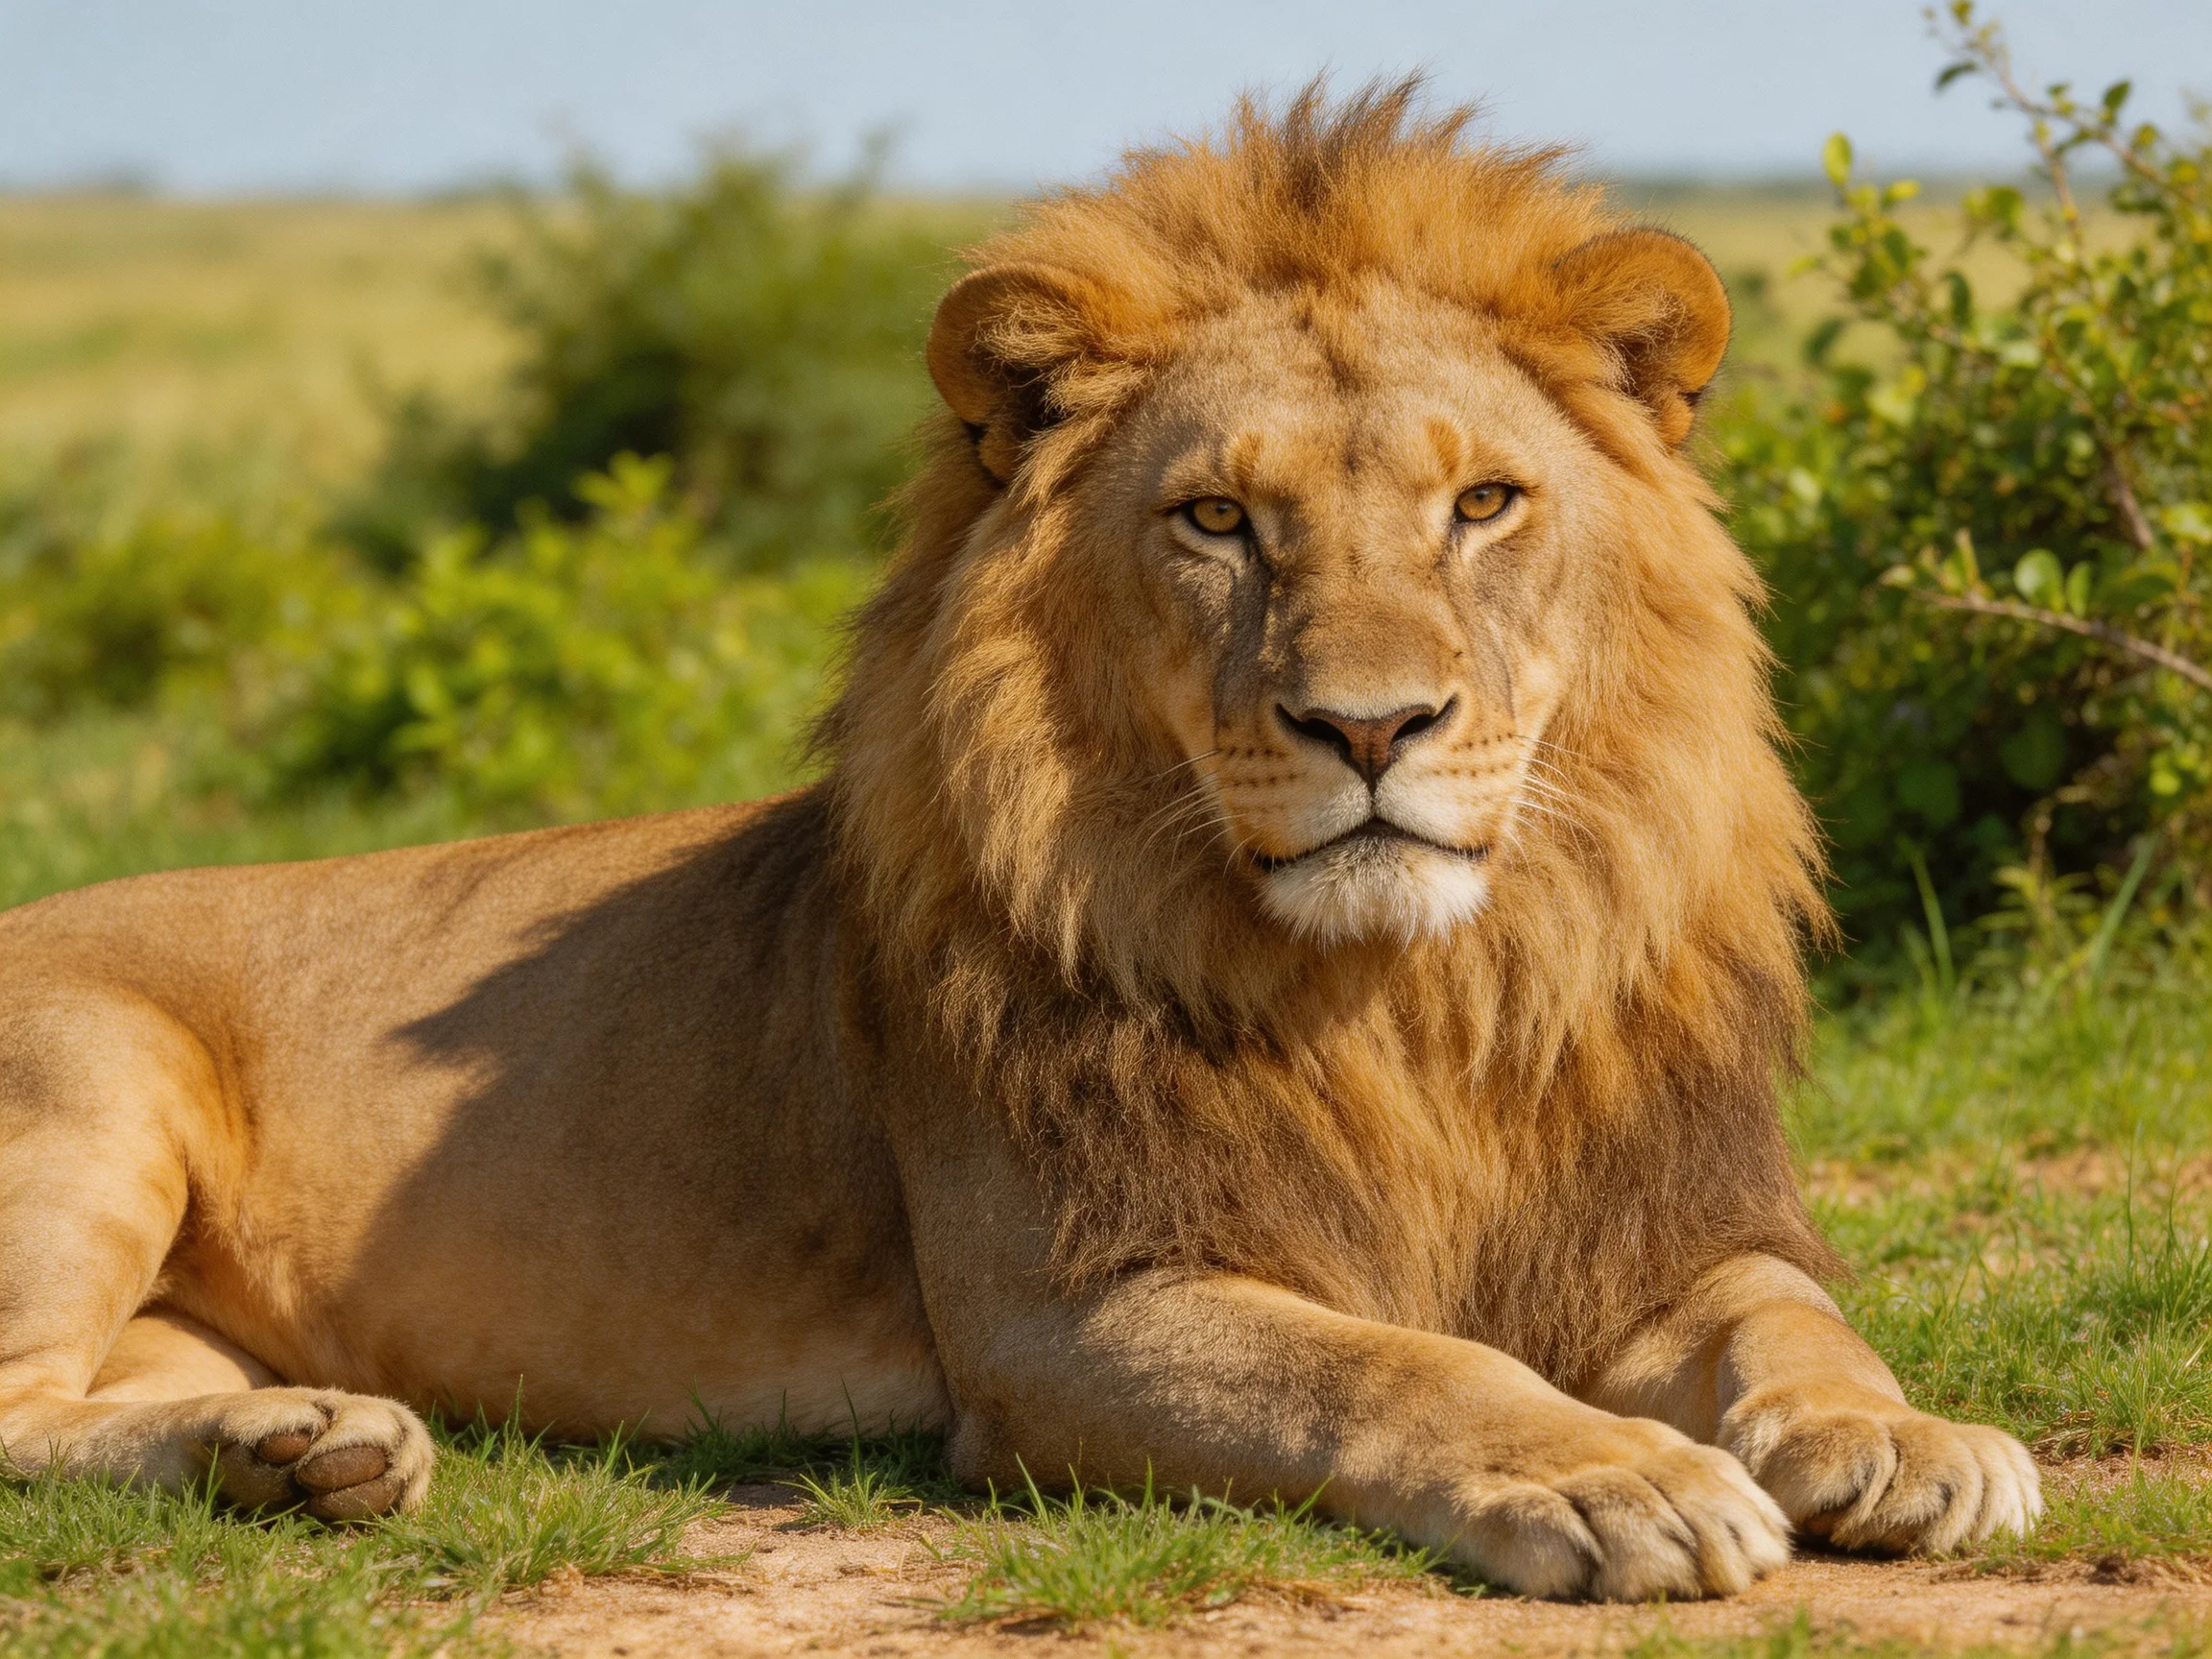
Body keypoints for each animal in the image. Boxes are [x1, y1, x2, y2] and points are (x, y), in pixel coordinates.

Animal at [0, 84, 2038, 1599]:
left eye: (1480, 504)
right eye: (1217, 519)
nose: (1368, 727)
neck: (1411, 1001)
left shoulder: (1662, 1221)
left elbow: (1792, 1320)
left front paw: (1906, 1438)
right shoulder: (1064, 1309)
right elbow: (1385, 1364)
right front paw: (1618, 1470)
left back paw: (301, 1446)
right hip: (94, 1089)